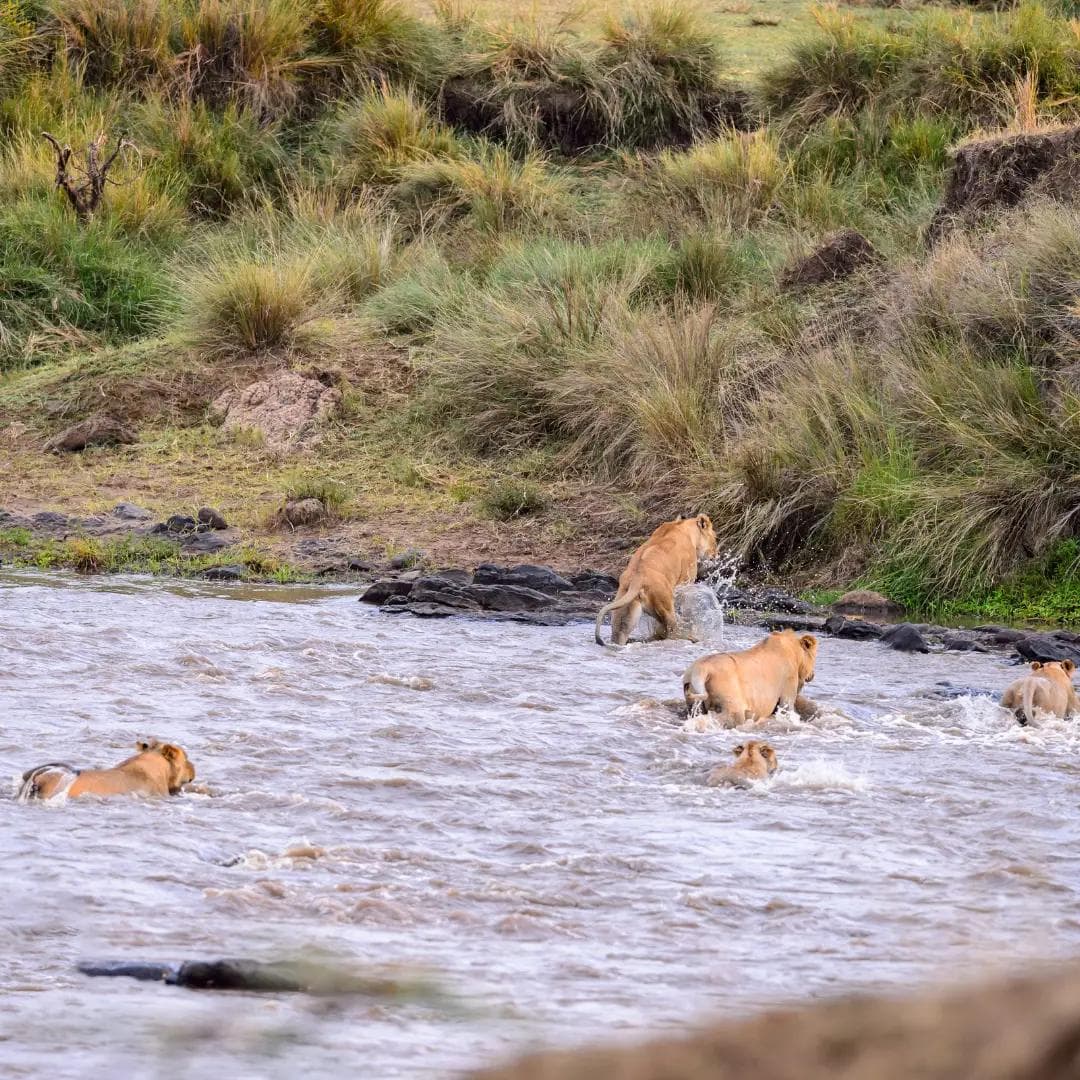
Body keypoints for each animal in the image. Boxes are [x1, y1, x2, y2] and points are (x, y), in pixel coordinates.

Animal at [594, 514, 718, 646]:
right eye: (715, 538)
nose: (717, 554)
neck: (683, 527)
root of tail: (637, 579)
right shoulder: (686, 581)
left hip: (625, 607)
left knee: (621, 632)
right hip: (665, 605)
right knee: (670, 631)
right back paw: (691, 638)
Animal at [683, 629, 818, 730]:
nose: (812, 674)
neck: (796, 656)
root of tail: (700, 670)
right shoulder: (788, 686)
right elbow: (788, 710)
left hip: (693, 699)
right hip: (730, 696)